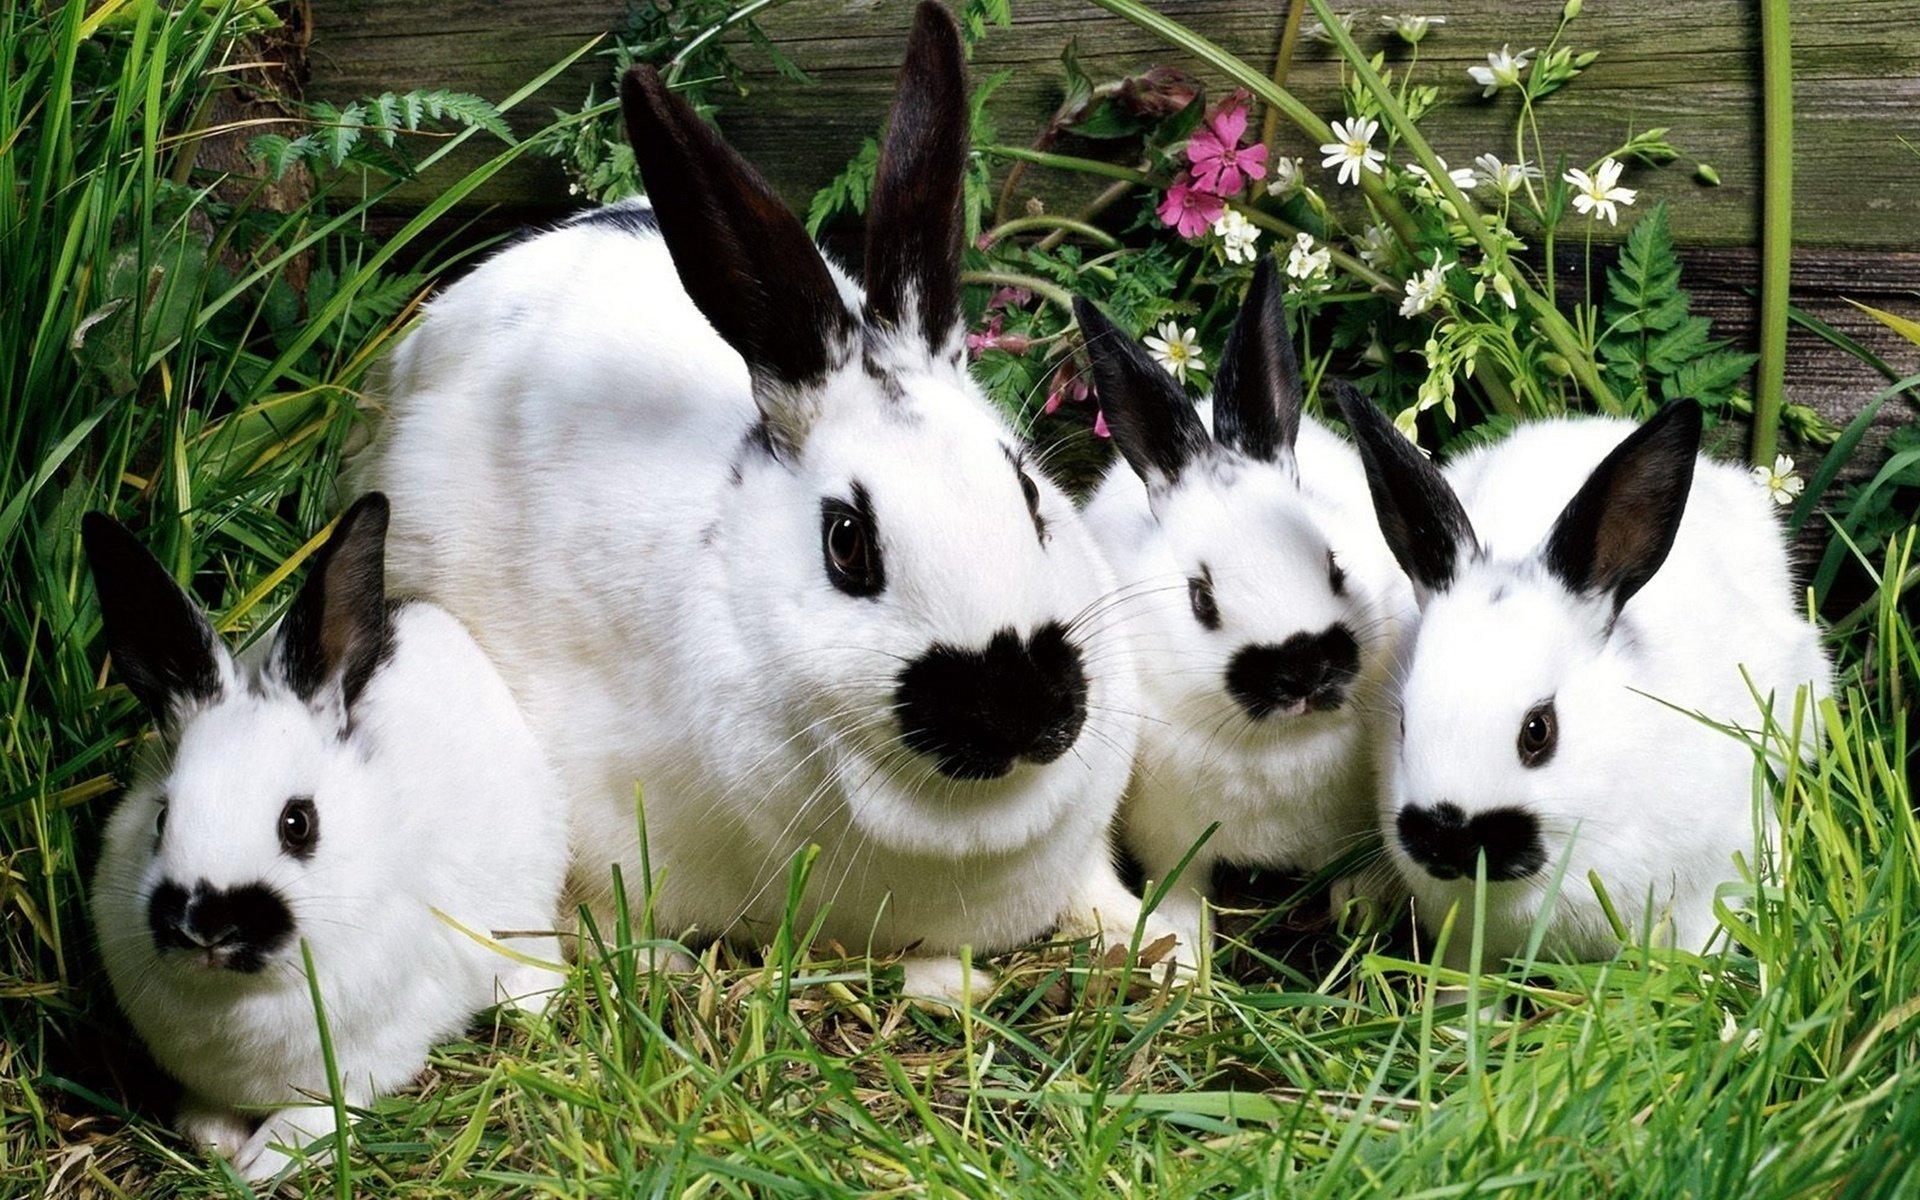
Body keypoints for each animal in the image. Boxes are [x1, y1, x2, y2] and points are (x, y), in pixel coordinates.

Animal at [84, 494, 568, 1182]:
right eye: (160, 818)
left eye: (298, 823)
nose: (207, 925)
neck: (242, 995)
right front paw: (213, 1139)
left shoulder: (364, 1058)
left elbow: (313, 1117)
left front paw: (259, 1165)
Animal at [1074, 258, 1416, 953]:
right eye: (1200, 598)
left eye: (1334, 564)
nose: (1303, 669)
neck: (1280, 744)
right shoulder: (1171, 836)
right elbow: (1179, 888)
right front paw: (1182, 956)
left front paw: (1361, 912)